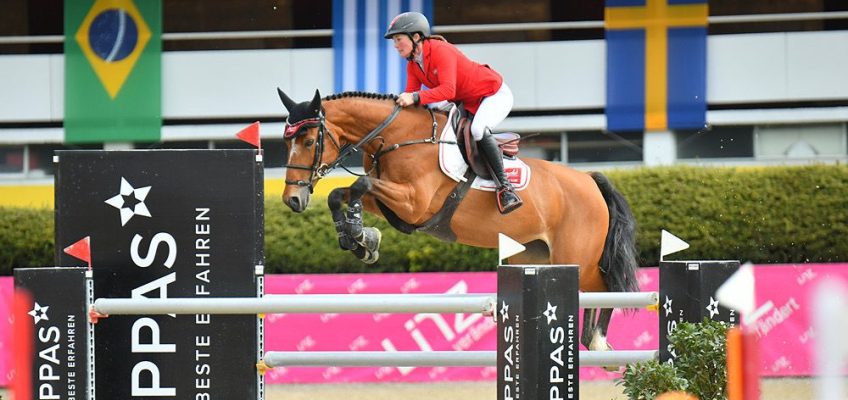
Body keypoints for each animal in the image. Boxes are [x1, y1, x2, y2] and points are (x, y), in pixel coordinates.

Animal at [274, 88, 640, 354]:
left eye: (309, 141)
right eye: (286, 142)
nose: (292, 199)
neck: (397, 136)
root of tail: (589, 180)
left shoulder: (413, 202)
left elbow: (360, 184)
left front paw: (361, 238)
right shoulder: (393, 202)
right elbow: (342, 194)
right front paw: (361, 240)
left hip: (577, 258)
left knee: (609, 288)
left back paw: (597, 340)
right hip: (539, 256)